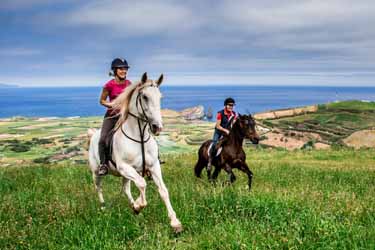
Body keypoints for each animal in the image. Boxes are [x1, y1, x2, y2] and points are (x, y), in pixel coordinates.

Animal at [87, 72, 184, 232]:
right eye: (144, 97)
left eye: (160, 97)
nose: (157, 127)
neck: (139, 137)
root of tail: (93, 134)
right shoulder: (124, 167)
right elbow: (142, 183)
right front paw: (140, 204)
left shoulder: (153, 166)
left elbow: (163, 190)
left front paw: (175, 222)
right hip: (97, 171)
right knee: (98, 187)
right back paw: (104, 208)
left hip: (125, 175)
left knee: (126, 188)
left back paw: (134, 207)